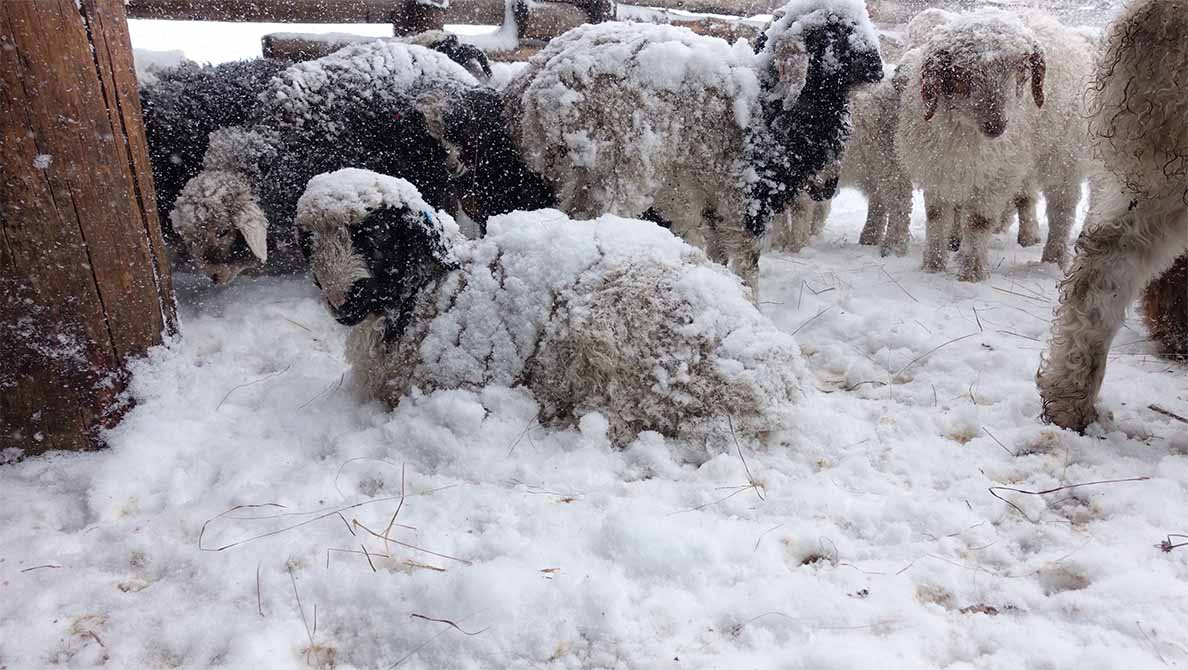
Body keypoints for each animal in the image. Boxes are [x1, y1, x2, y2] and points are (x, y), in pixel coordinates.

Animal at [294, 169, 807, 446]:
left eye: (375, 236)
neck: (432, 293)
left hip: (604, 330)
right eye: (310, 240)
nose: (341, 303)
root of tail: (773, 385)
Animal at [494, 0, 883, 293]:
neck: (770, 105)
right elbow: (748, 265)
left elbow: (714, 252)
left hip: (574, 174)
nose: (878, 68)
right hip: (614, 169)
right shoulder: (744, 198)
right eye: (836, 31)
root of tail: (533, 89)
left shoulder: (699, 197)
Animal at [893, 11, 1092, 282]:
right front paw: (932, 267)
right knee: (1026, 196)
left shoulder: (995, 176)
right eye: (960, 72)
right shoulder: (938, 170)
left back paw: (1053, 258)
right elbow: (937, 218)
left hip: (1061, 155)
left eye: (1022, 68)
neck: (965, 134)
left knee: (1062, 208)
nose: (996, 126)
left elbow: (978, 221)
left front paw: (972, 273)